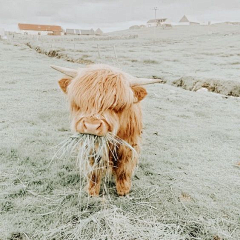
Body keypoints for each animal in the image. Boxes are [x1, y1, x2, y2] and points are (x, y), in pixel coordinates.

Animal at [52, 64, 161, 196]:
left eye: (116, 106)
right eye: (80, 102)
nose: (91, 126)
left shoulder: (128, 145)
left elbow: (124, 167)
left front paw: (123, 189)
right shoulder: (91, 147)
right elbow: (93, 170)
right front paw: (92, 190)